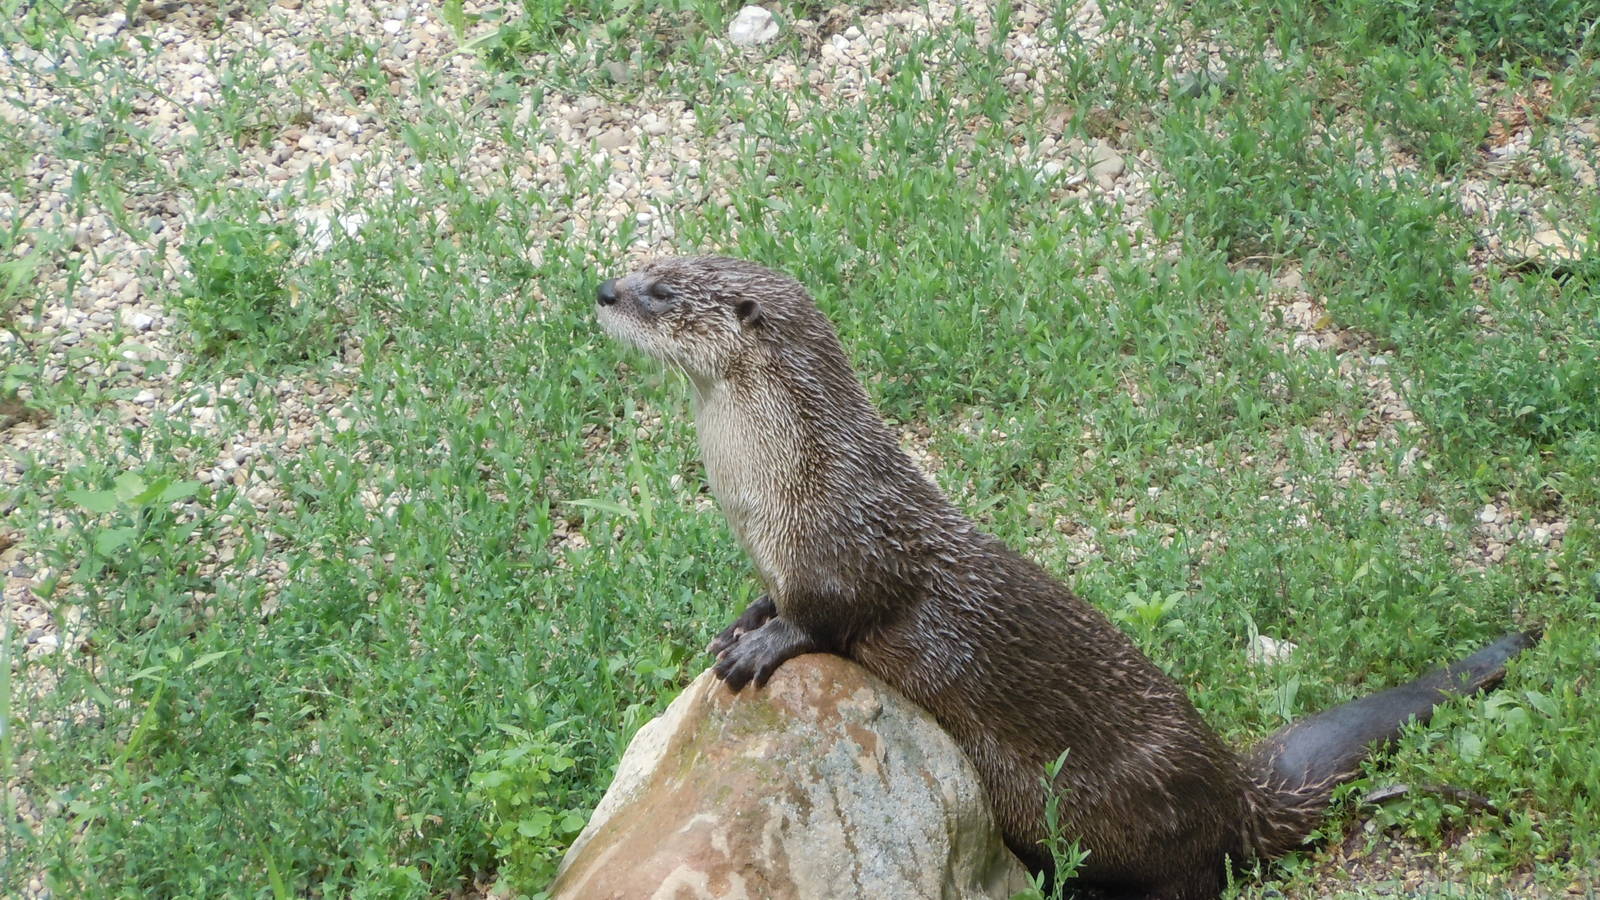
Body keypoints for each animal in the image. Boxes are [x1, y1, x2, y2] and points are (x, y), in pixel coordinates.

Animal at [594, 256, 1535, 900]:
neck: (782, 485)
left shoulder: (848, 548)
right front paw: (744, 618)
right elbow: (771, 596)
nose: (604, 289)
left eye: (663, 290)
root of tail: (1233, 785)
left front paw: (764, 647)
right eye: (648, 263)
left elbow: (834, 614)